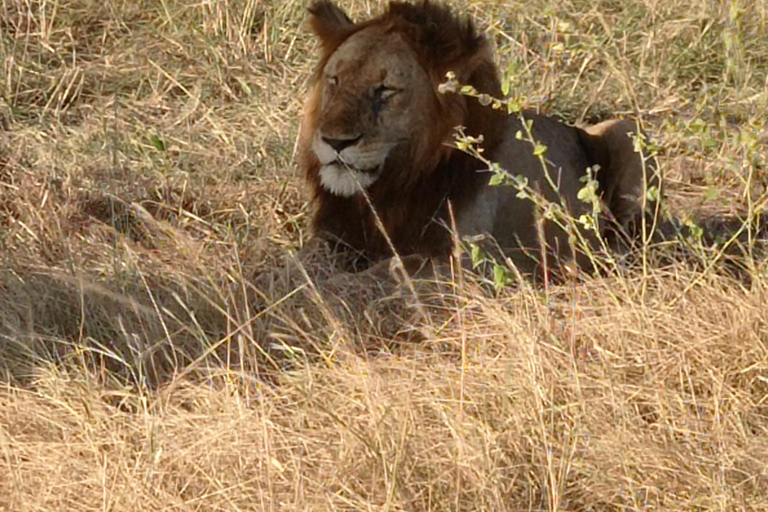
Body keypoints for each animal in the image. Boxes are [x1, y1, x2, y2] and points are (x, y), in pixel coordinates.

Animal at [296, 0, 656, 280]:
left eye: (386, 89)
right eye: (335, 80)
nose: (334, 141)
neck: (393, 187)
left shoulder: (471, 262)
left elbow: (390, 269)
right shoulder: (335, 235)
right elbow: (307, 257)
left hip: (629, 131)